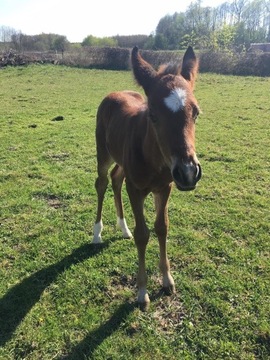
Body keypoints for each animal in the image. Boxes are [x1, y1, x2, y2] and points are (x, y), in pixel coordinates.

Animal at [93, 45, 200, 310]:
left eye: (196, 113)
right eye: (153, 114)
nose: (188, 172)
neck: (156, 161)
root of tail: (114, 94)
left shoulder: (166, 187)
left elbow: (162, 227)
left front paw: (167, 280)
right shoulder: (136, 189)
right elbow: (143, 235)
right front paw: (142, 292)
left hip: (122, 163)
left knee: (116, 178)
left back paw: (123, 228)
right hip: (103, 152)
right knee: (102, 182)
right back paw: (97, 232)